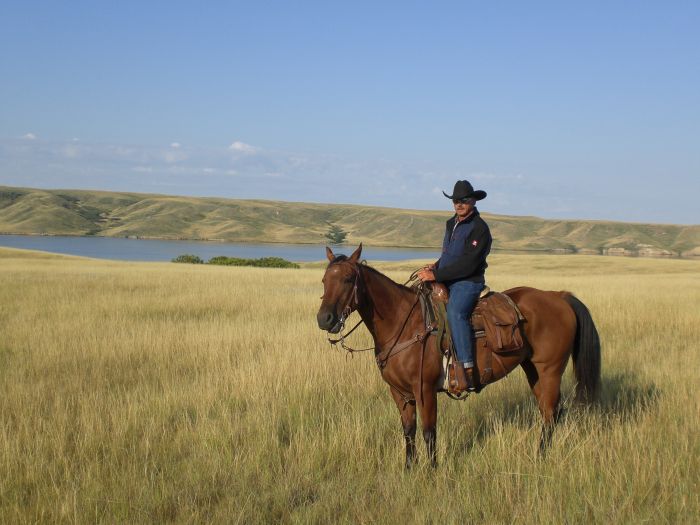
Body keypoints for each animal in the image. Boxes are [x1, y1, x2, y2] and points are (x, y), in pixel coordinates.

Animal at [318, 243, 600, 466]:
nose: (325, 319)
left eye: (347, 279)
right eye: (324, 281)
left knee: (551, 412)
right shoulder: (399, 392)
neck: (404, 323)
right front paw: (409, 468)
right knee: (549, 411)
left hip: (550, 369)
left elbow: (429, 432)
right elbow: (408, 431)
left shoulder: (424, 389)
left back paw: (540, 457)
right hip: (533, 370)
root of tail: (560, 296)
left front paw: (431, 472)